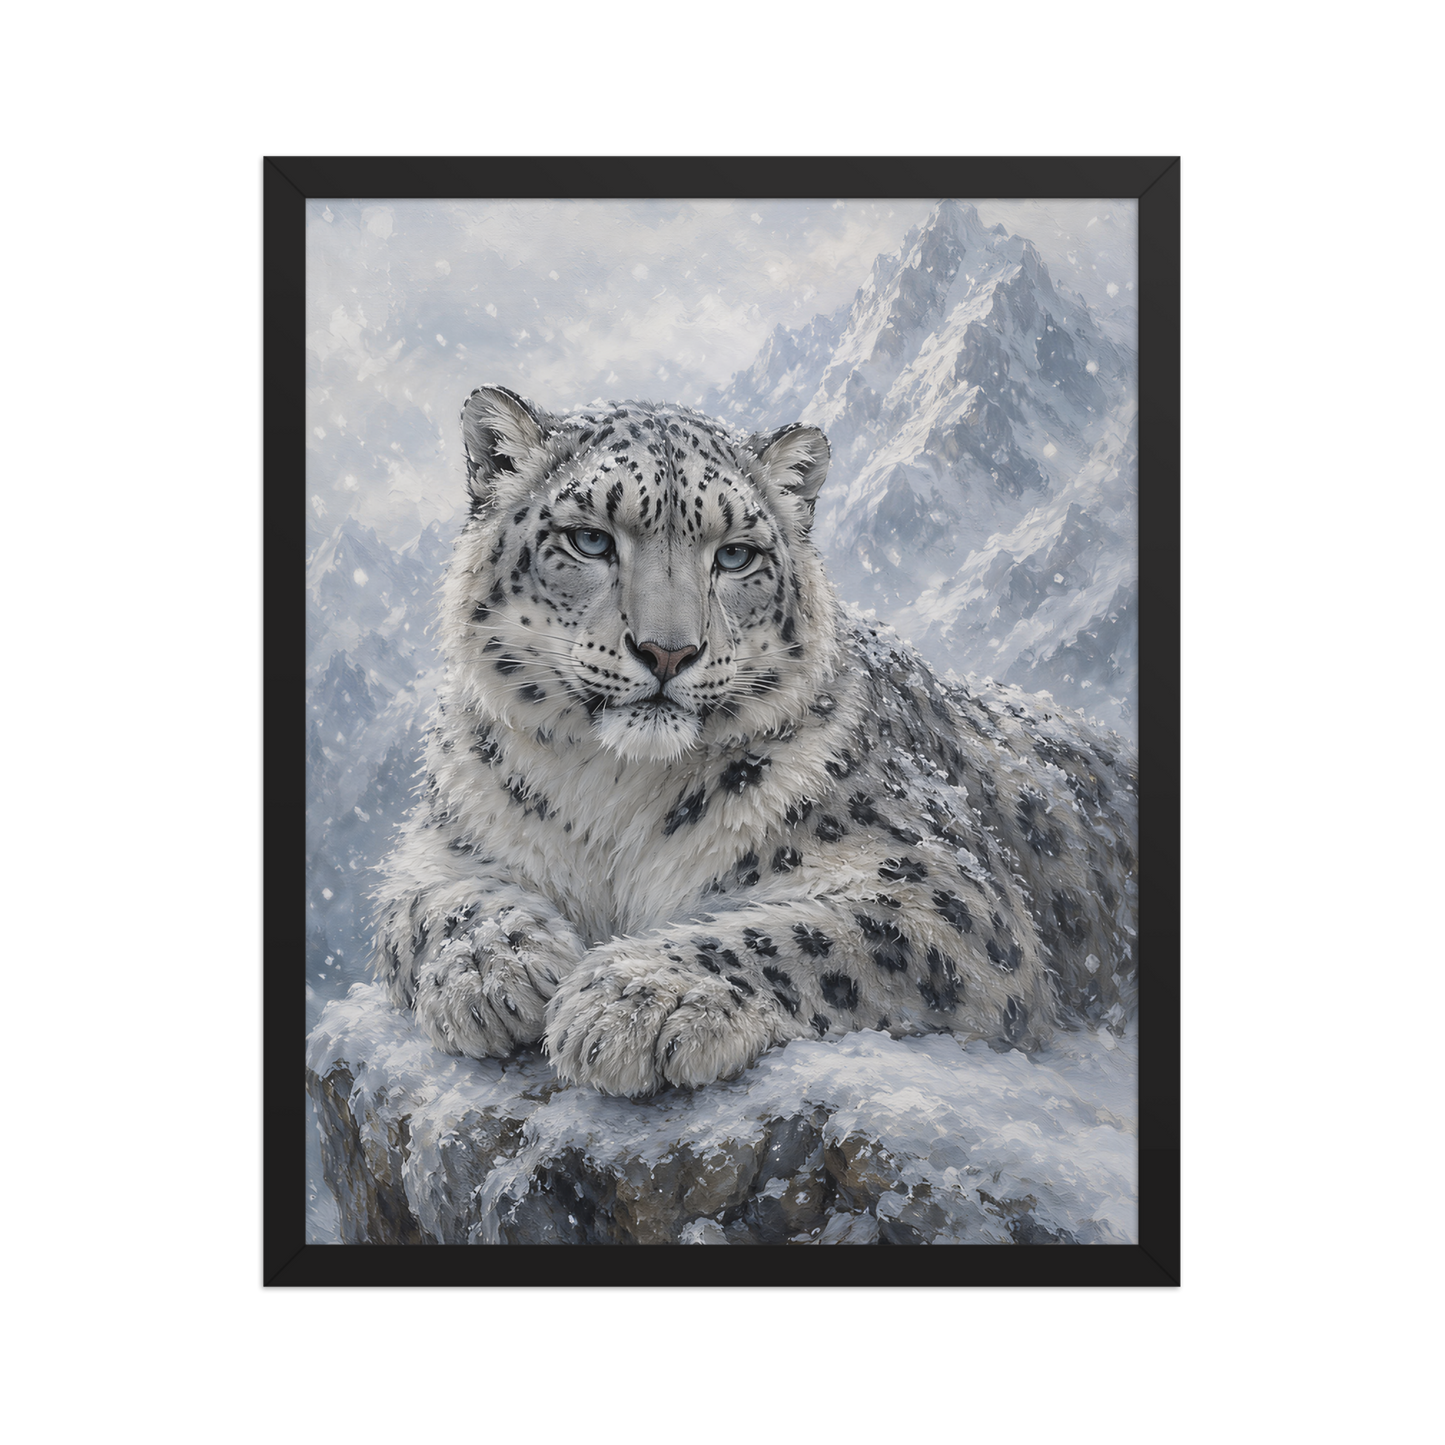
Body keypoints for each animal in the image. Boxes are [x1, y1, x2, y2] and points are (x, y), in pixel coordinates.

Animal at [371, 385, 1138, 1097]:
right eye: (589, 539)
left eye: (736, 555)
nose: (668, 651)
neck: (608, 793)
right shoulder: (443, 845)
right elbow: (431, 904)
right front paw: (494, 969)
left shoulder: (946, 893)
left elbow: (801, 933)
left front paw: (635, 998)